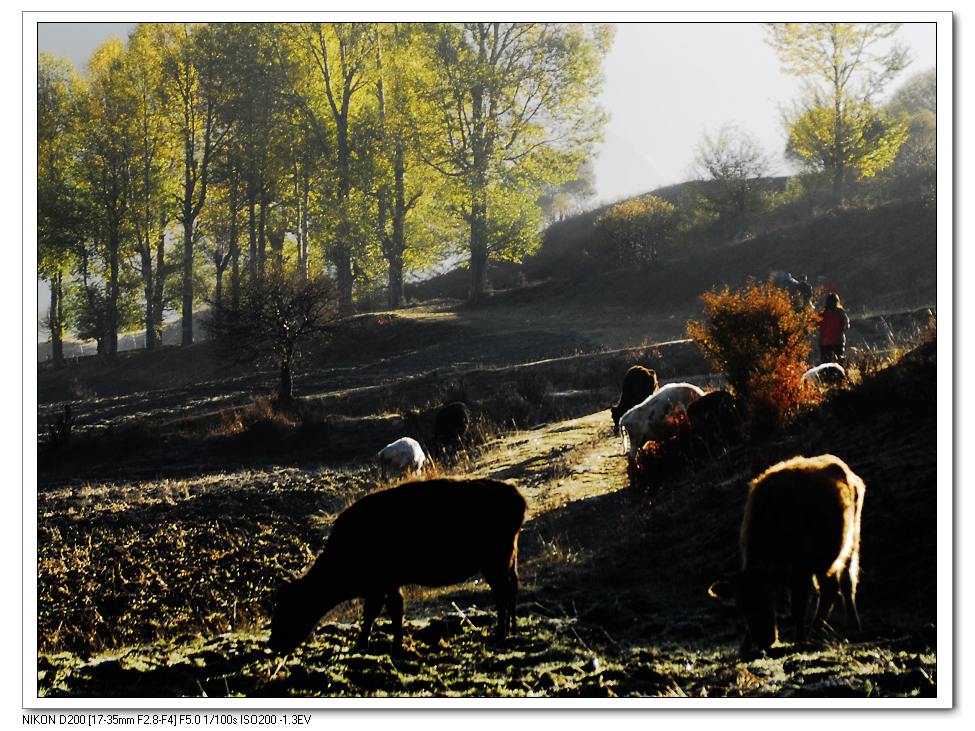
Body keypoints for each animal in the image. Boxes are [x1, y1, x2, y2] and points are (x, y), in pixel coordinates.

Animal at [268, 478, 528, 656]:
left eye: (289, 608)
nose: (273, 644)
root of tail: (513, 493)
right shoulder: (388, 584)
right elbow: (393, 609)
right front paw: (394, 644)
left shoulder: (379, 585)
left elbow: (375, 612)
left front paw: (364, 645)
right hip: (504, 561)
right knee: (510, 590)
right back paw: (509, 631)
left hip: (495, 563)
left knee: (503, 593)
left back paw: (500, 633)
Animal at [708, 454, 868, 656]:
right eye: (741, 606)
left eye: (770, 597)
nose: (764, 639)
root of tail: (845, 471)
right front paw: (744, 646)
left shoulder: (800, 568)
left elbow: (798, 606)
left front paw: (799, 638)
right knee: (844, 585)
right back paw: (850, 626)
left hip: (844, 547)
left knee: (835, 587)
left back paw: (818, 631)